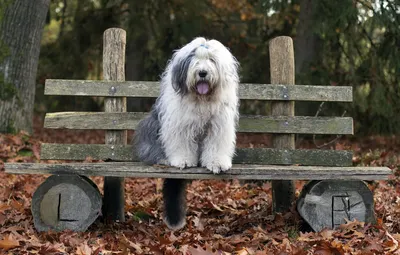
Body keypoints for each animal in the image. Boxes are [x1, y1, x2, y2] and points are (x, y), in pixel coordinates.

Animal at [134, 36, 241, 230]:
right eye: (195, 60)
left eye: (211, 60)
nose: (202, 73)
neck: (202, 100)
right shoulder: (179, 124)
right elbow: (181, 143)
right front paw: (183, 161)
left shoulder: (218, 125)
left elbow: (216, 144)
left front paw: (217, 163)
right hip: (151, 128)